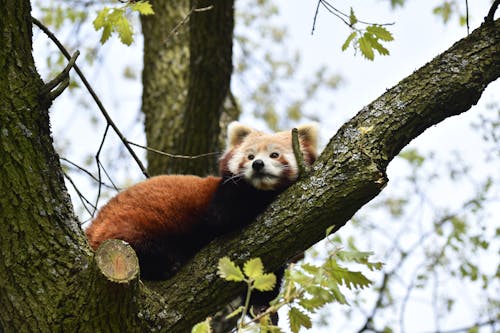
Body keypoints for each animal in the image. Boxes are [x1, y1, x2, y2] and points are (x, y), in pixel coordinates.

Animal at [84, 122, 318, 282]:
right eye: (250, 156)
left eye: (275, 154)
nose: (258, 164)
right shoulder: (225, 195)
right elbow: (223, 217)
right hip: (126, 227)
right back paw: (166, 263)